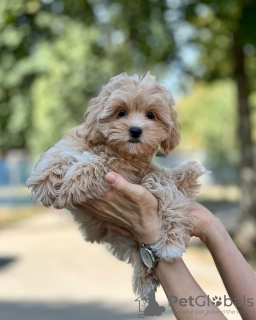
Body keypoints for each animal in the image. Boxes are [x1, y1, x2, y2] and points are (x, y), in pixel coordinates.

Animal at [26, 72, 206, 300]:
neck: (116, 150)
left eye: (151, 115)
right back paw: (146, 278)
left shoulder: (127, 173)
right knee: (141, 252)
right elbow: (60, 154)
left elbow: (97, 165)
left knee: (165, 194)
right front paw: (45, 182)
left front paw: (74, 182)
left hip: (152, 185)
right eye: (121, 112)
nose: (136, 130)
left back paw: (169, 245)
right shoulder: (76, 143)